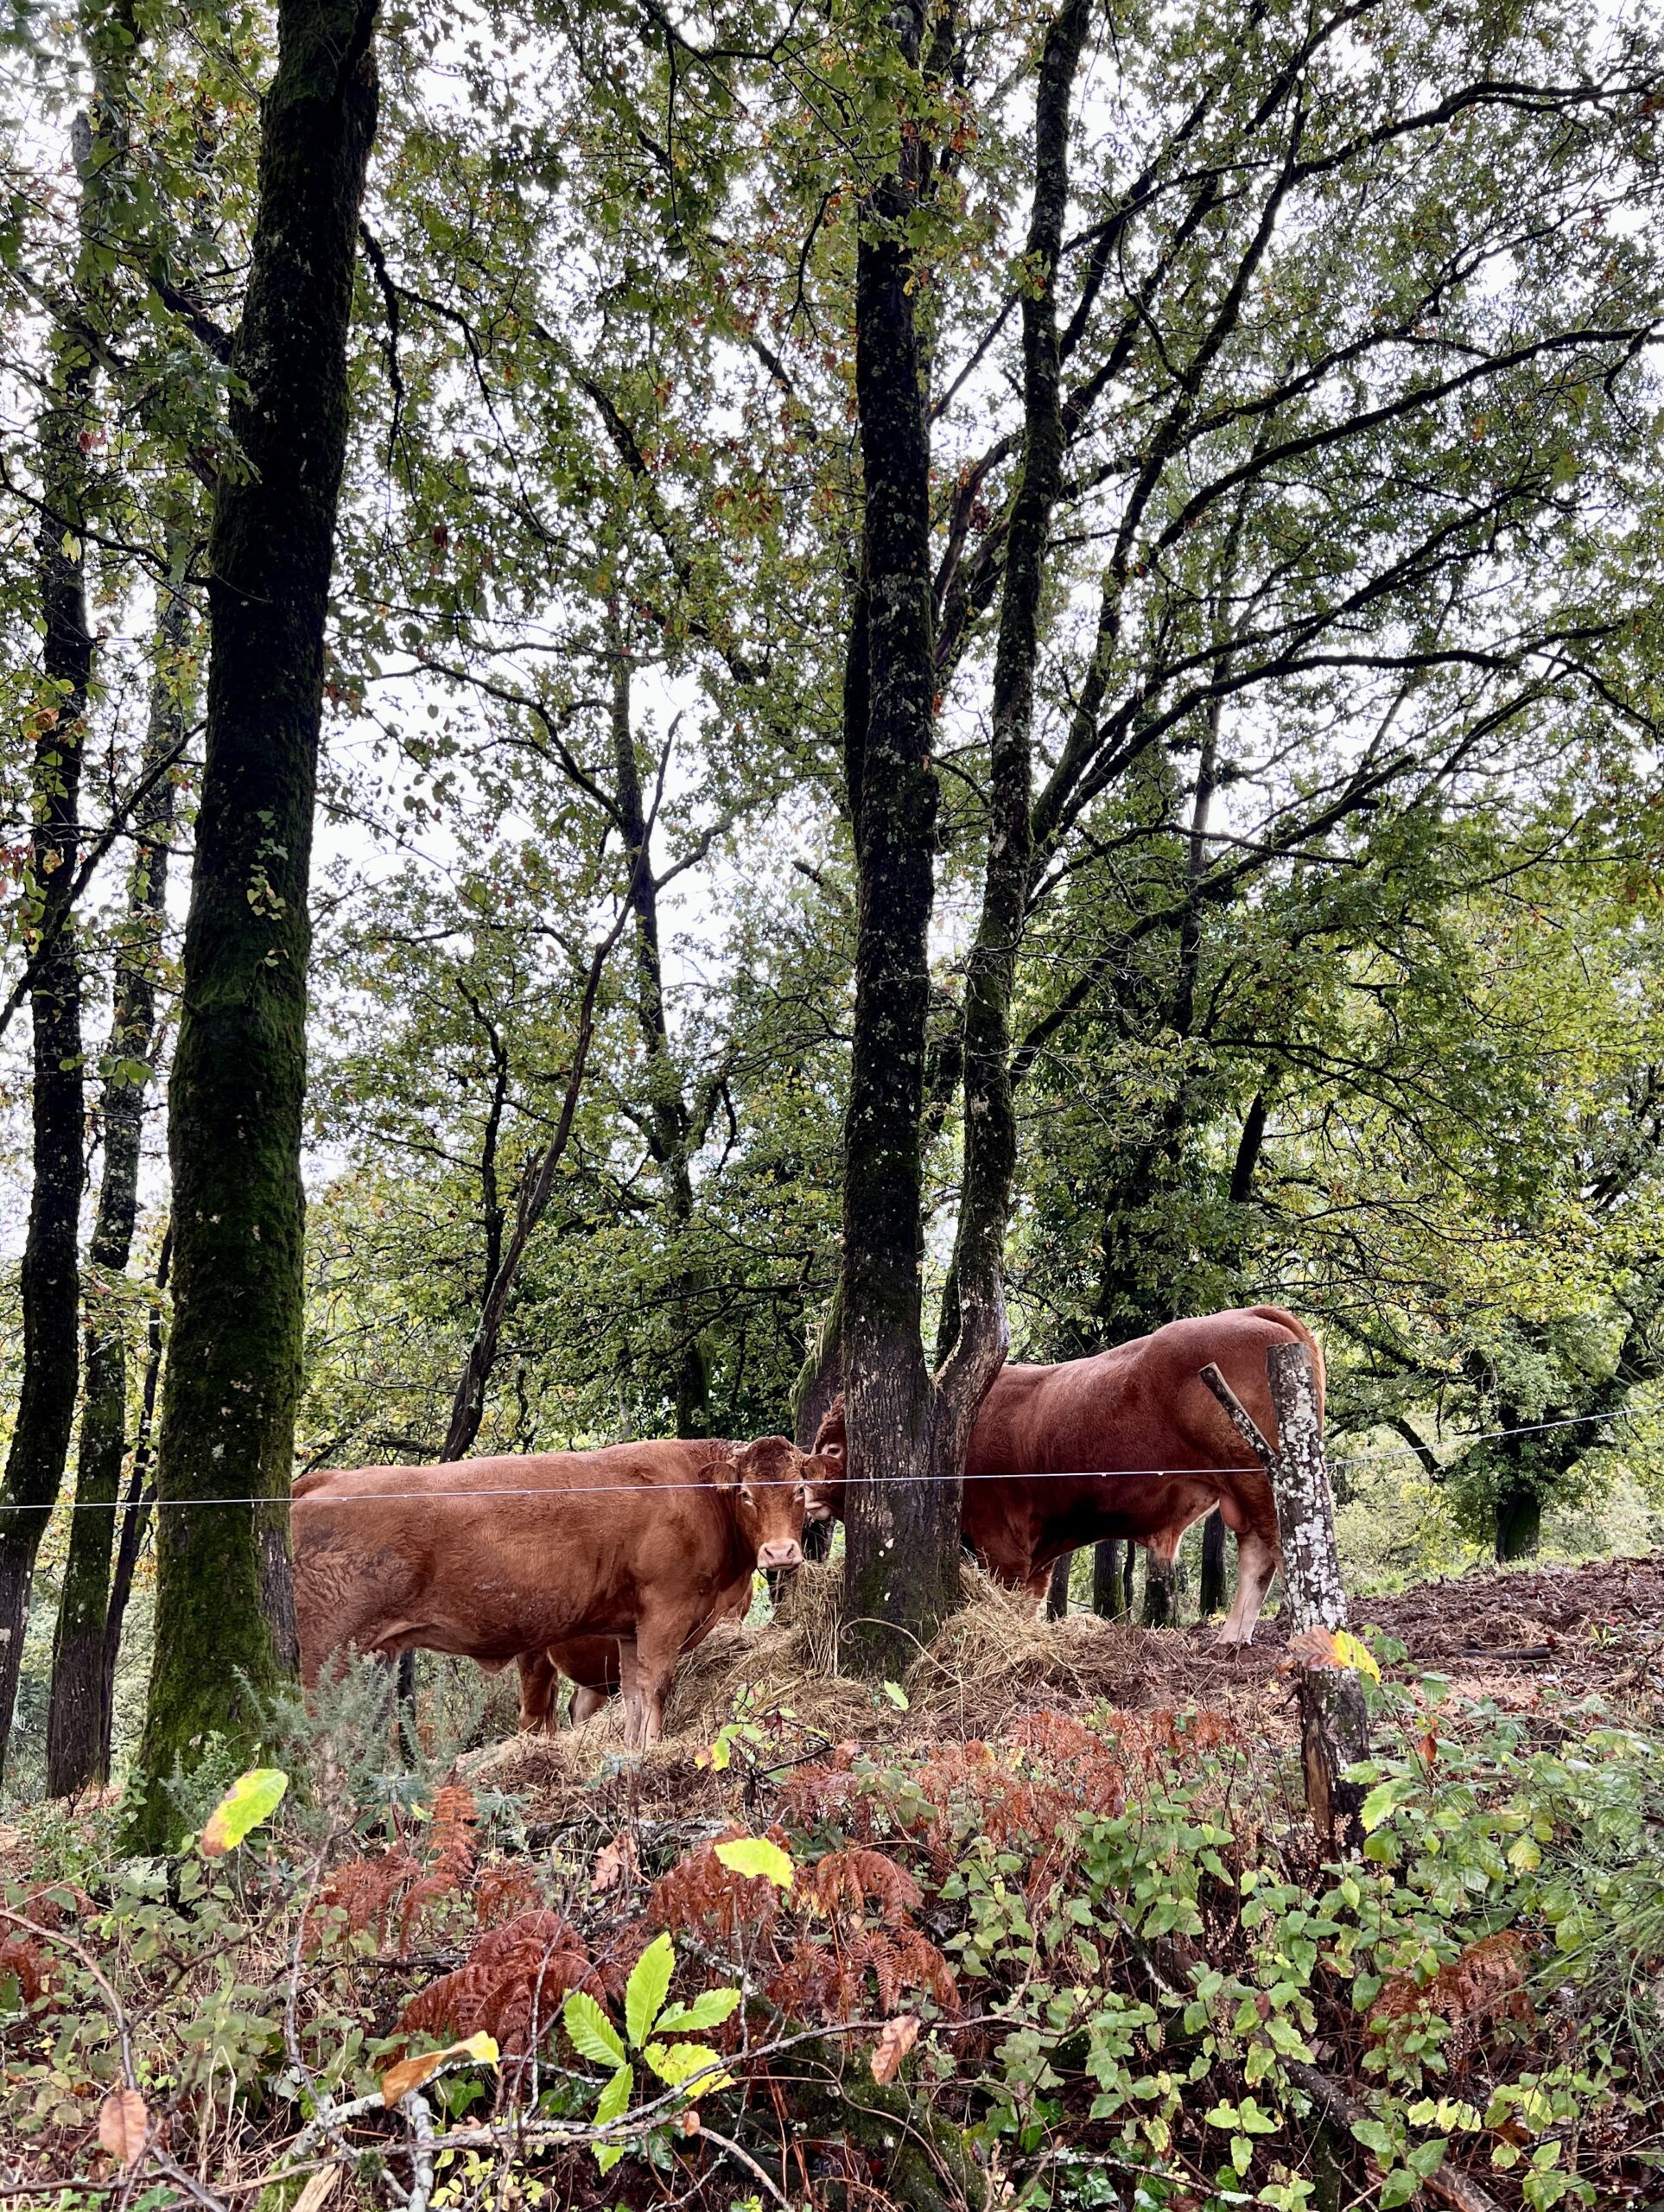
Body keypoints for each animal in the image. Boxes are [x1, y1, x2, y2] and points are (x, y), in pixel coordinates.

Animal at [296, 1433, 827, 1743]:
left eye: (800, 1488)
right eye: (746, 1494)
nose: (780, 1552)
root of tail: (323, 1481)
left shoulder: (629, 1629)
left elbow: (633, 1695)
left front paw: (631, 1753)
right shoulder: (666, 1609)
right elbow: (656, 1685)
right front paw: (652, 1751)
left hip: (374, 1656)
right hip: (324, 1657)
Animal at [810, 1292, 1327, 1645]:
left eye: (833, 1449)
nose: (802, 1489)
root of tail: (1253, 1313)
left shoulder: (1000, 1544)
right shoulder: (1037, 1554)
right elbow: (1031, 1603)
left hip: (1261, 1476)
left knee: (1286, 1549)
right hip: (1241, 1487)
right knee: (1258, 1553)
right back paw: (1232, 1636)